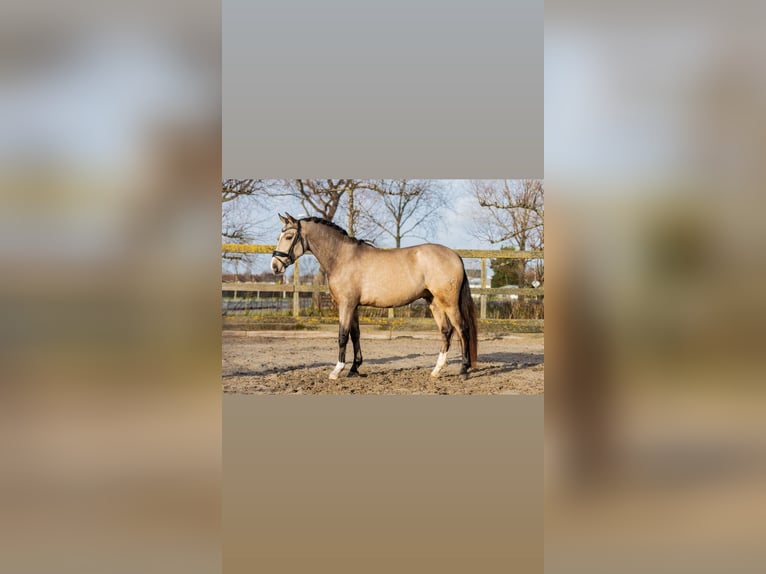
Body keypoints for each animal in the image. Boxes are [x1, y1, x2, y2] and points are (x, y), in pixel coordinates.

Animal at [268, 214, 476, 380]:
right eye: (279, 236)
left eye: (288, 236)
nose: (275, 266)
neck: (342, 257)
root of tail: (455, 255)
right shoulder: (353, 306)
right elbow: (355, 335)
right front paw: (354, 369)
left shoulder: (346, 305)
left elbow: (342, 335)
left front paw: (337, 370)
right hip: (434, 302)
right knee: (446, 331)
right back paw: (437, 370)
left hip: (449, 303)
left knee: (462, 329)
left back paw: (463, 370)